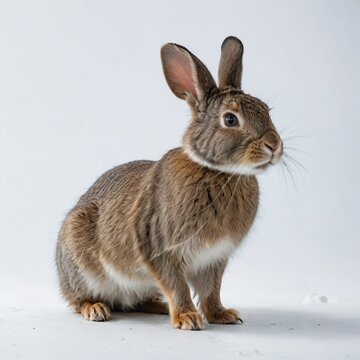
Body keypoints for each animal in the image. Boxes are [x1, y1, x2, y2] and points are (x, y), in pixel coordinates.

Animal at [54, 35, 282, 330]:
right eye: (230, 119)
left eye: (266, 109)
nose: (274, 146)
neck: (217, 171)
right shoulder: (162, 249)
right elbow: (178, 287)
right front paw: (187, 319)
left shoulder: (214, 259)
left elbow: (211, 291)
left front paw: (222, 315)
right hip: (80, 261)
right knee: (80, 298)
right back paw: (95, 309)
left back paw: (159, 307)